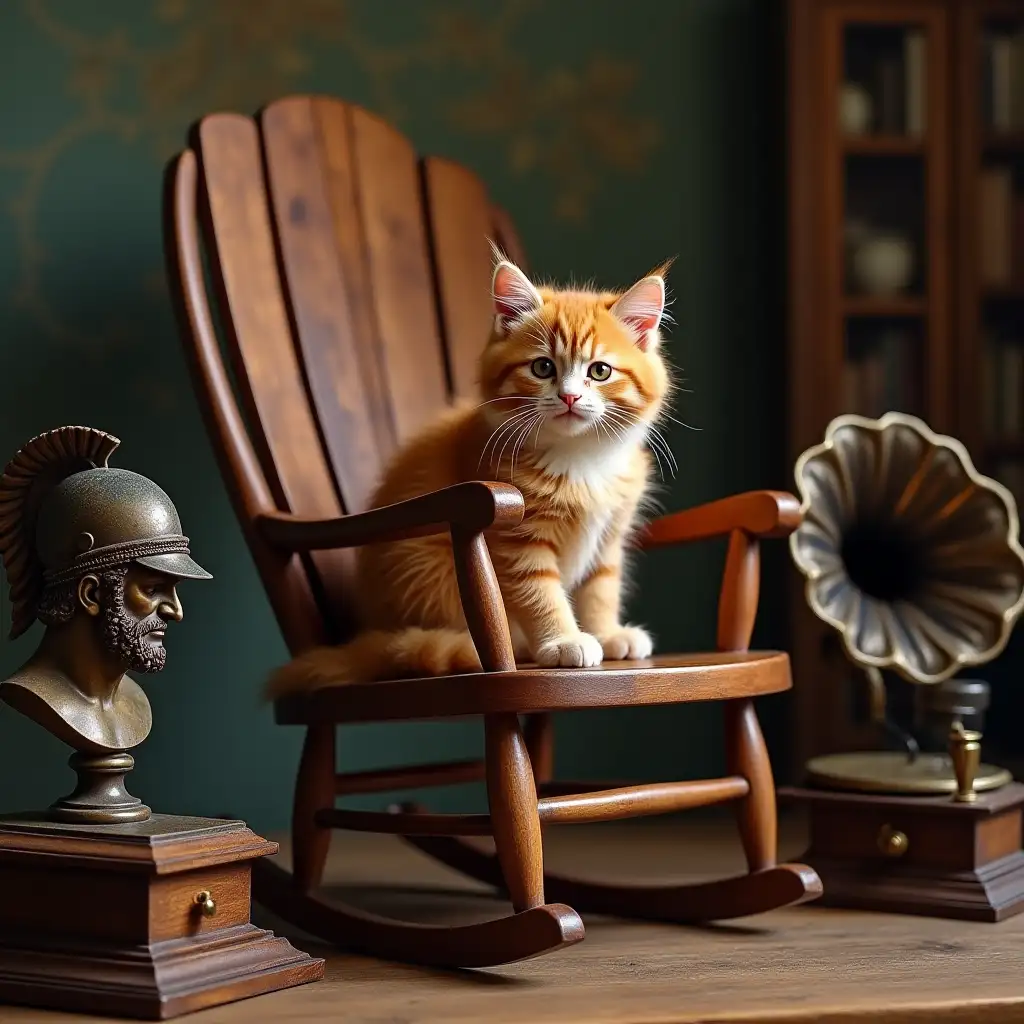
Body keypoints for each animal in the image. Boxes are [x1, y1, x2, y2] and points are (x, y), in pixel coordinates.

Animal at [268, 256, 675, 696]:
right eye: (543, 367)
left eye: (600, 371)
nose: (569, 396)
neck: (579, 459)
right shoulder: (517, 540)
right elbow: (540, 592)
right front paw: (564, 641)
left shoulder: (609, 536)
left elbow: (601, 587)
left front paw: (607, 632)